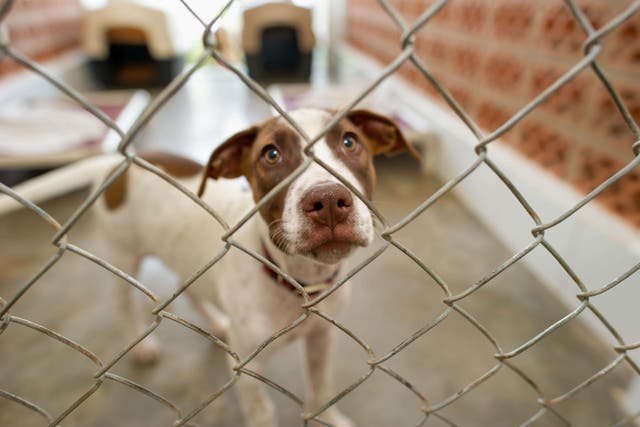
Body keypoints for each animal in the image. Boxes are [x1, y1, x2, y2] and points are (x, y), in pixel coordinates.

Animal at [2, 109, 418, 427]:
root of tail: (119, 162)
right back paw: (143, 344)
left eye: (350, 142)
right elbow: (263, 413)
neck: (298, 282)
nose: (328, 200)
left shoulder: (322, 337)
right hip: (121, 257)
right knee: (123, 304)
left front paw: (332, 419)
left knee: (188, 288)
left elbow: (323, 386)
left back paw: (217, 324)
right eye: (270, 154)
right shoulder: (247, 371)